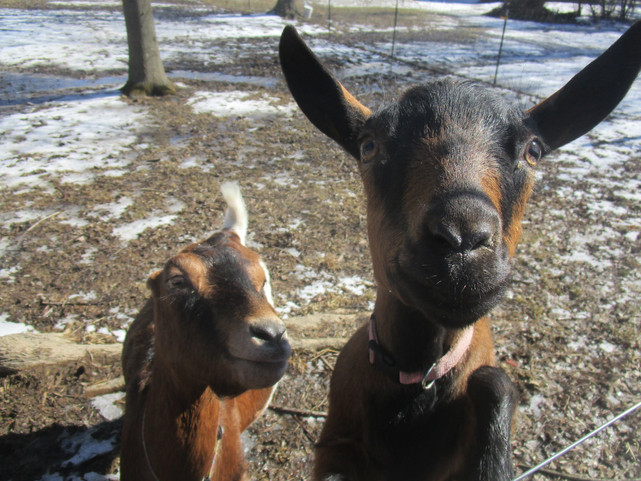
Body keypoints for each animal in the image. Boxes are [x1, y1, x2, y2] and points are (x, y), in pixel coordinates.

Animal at [279, 23, 641, 481]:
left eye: (533, 150)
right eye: (368, 146)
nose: (462, 238)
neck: (418, 374)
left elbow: (495, 388)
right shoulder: (335, 444)